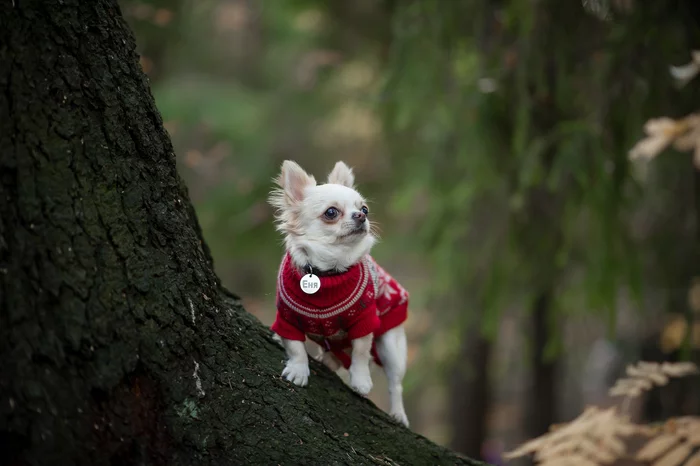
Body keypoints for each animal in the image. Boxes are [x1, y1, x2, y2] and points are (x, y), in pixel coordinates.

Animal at [268, 159, 410, 426]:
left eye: (364, 208)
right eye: (331, 212)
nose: (361, 216)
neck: (328, 271)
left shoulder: (364, 320)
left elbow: (361, 351)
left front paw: (361, 380)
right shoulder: (286, 317)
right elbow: (295, 346)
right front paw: (299, 370)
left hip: (391, 346)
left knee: (396, 384)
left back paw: (398, 414)